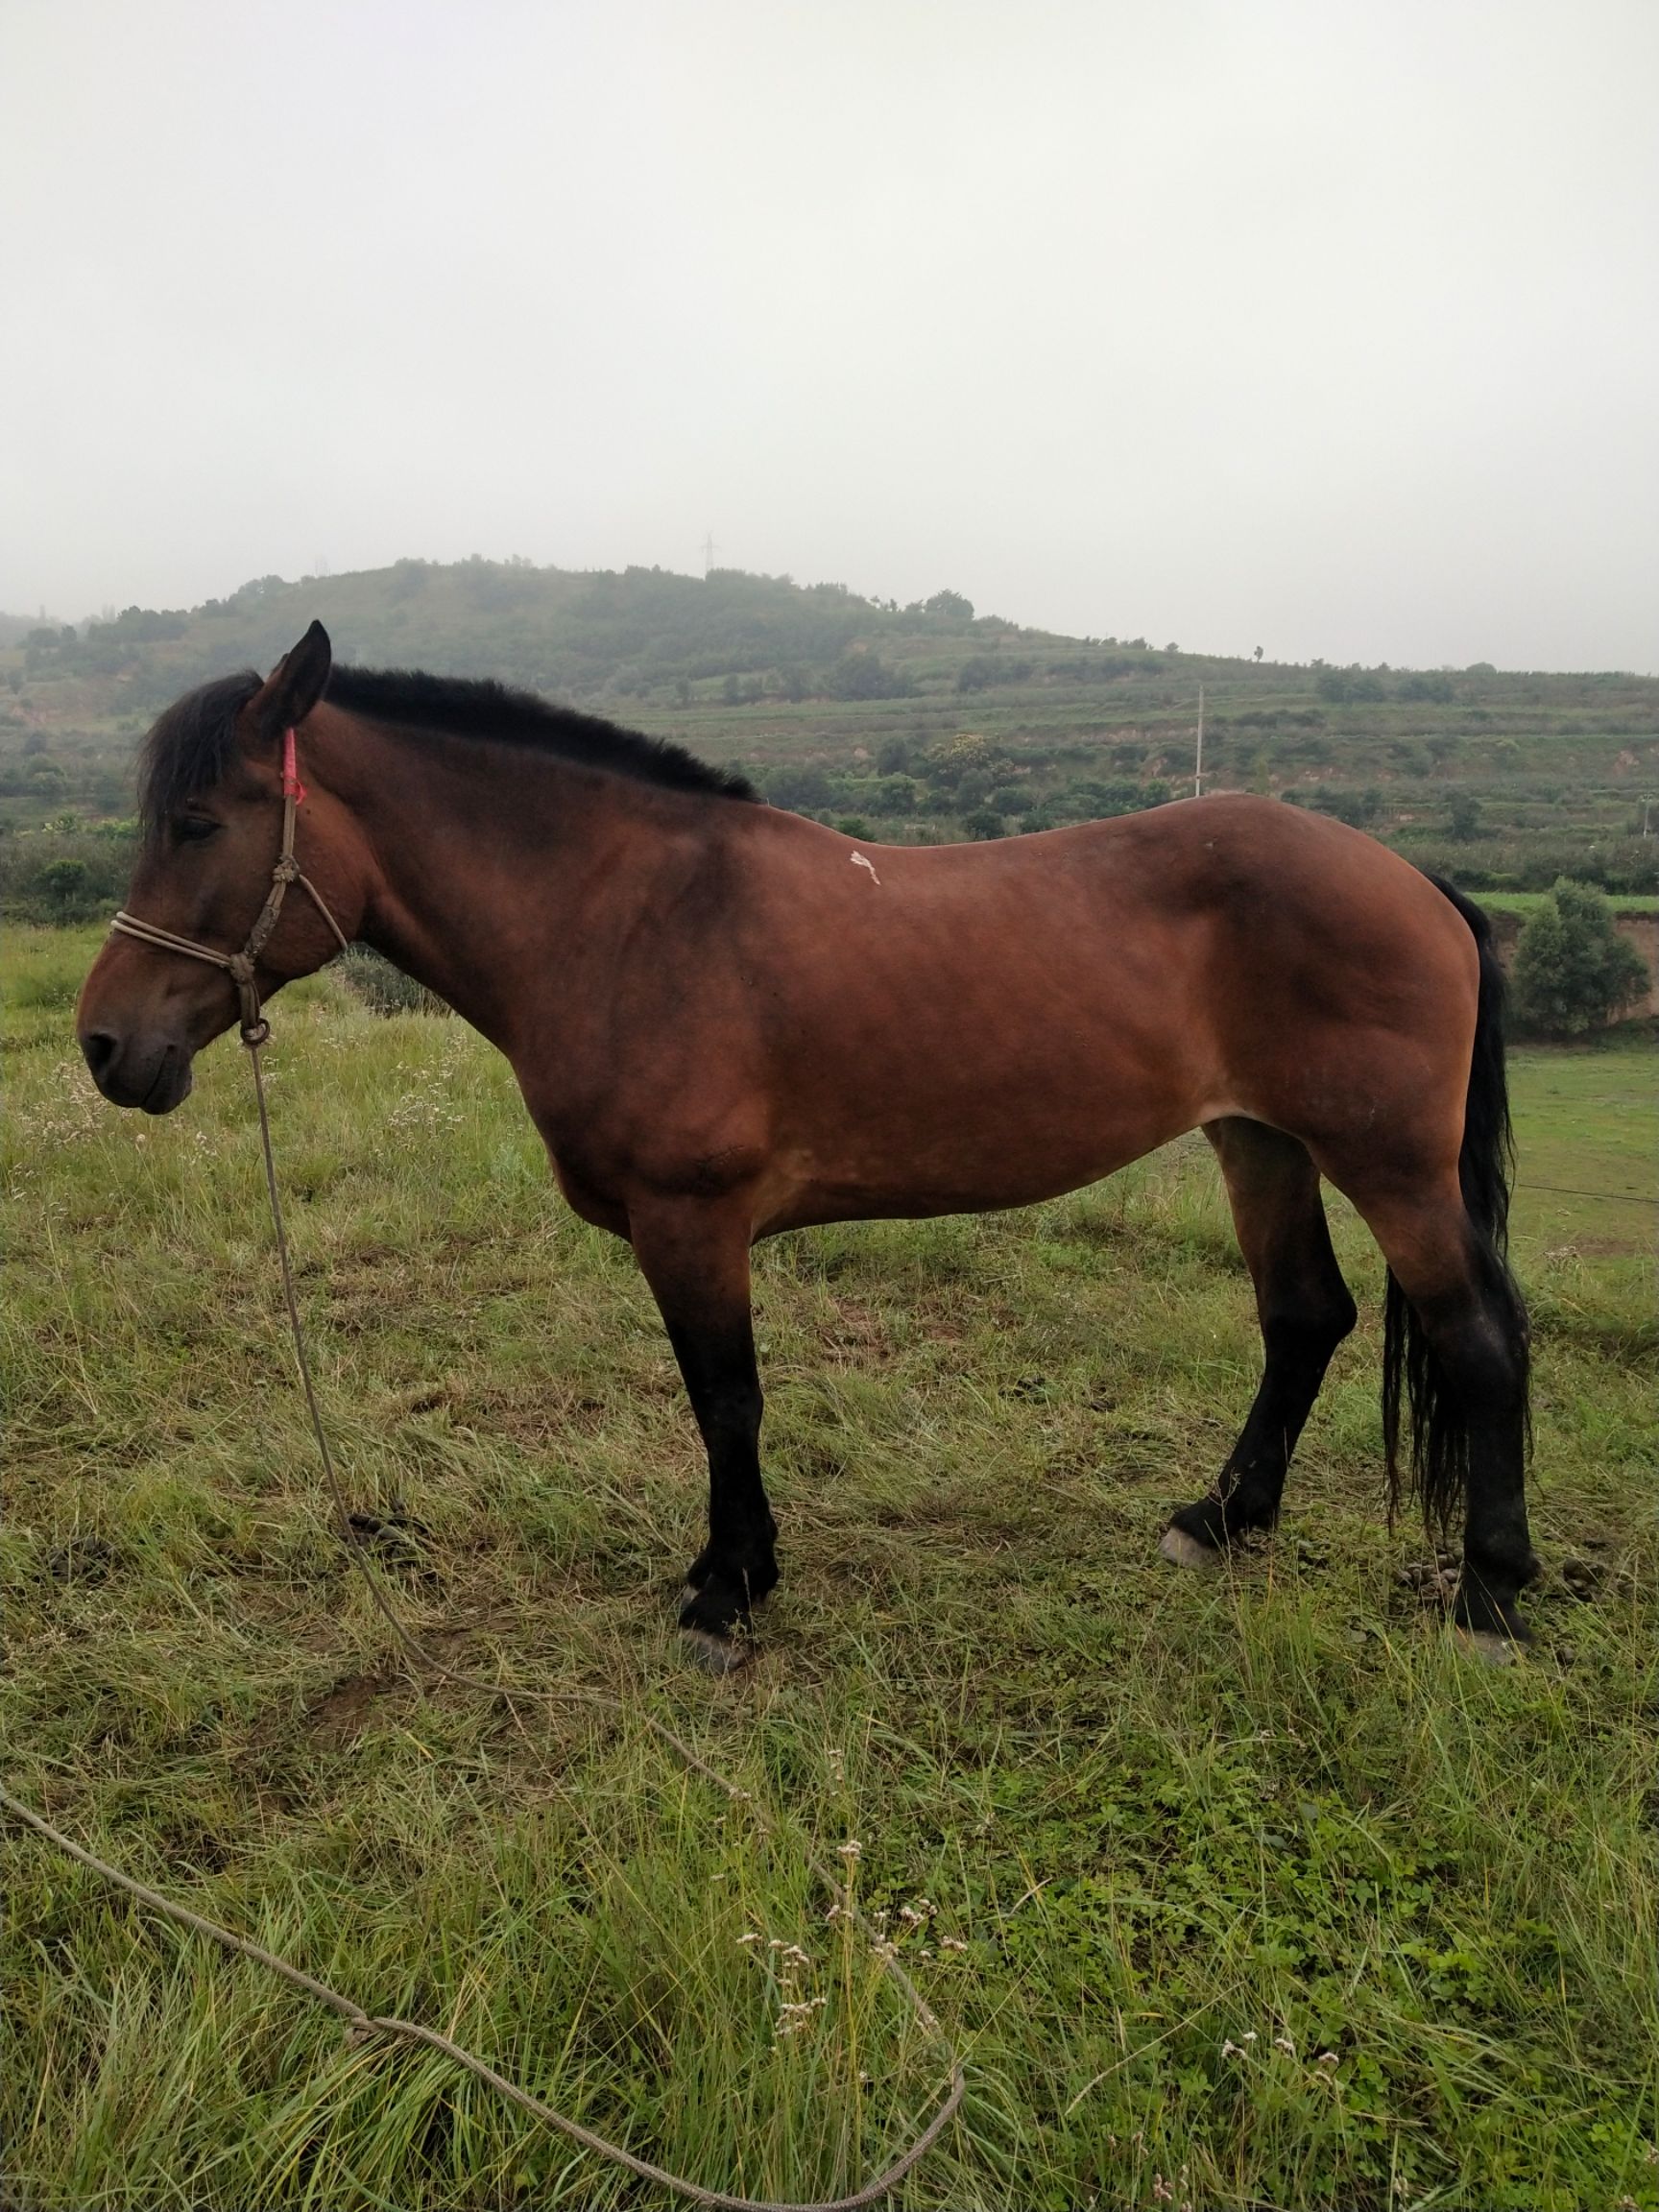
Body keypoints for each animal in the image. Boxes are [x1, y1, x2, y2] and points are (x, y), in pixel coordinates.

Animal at [76, 622, 1538, 1662]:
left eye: (198, 822)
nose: (104, 1046)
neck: (632, 917)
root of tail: (1415, 882)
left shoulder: (692, 1220)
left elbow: (725, 1399)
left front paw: (726, 1593)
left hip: (1390, 1167)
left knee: (1478, 1341)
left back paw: (1491, 1598)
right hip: (1258, 1142)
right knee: (1305, 1318)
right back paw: (1218, 1523)